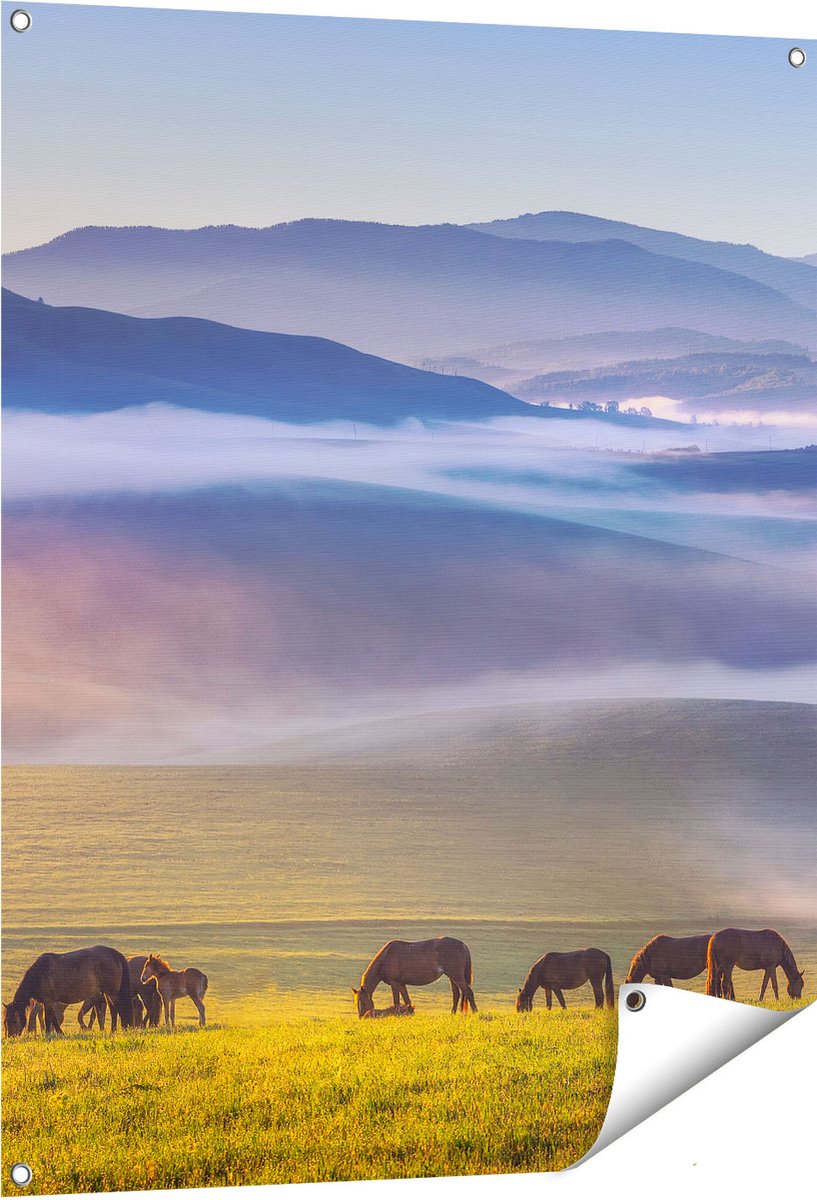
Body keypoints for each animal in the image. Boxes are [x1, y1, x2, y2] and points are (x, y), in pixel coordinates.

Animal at [3, 946, 133, 1036]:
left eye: (14, 1021)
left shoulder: (48, 1001)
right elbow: (54, 1018)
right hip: (107, 993)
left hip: (112, 992)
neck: (40, 973)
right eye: (5, 1021)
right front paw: (60, 1033)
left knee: (118, 1009)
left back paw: (122, 1028)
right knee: (114, 1010)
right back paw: (114, 1030)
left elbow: (48, 1018)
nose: (11, 1036)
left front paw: (48, 1034)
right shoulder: (50, 1002)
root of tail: (114, 953)